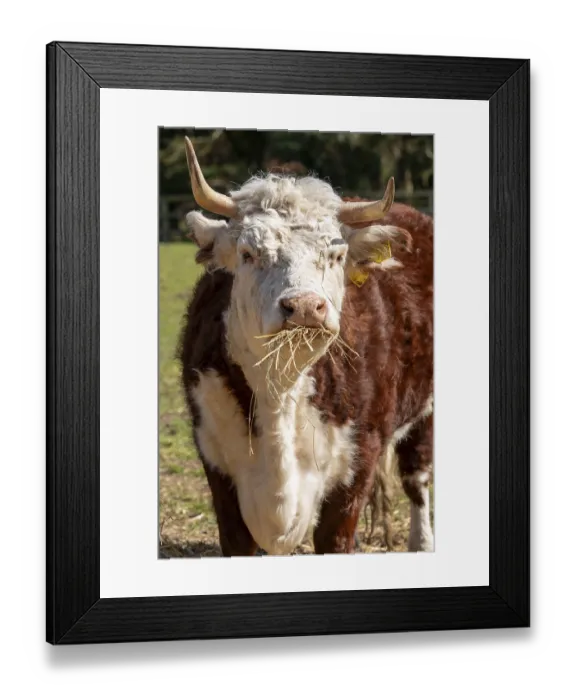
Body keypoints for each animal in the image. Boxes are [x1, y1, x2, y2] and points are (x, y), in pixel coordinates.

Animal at [178, 136, 434, 556]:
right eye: (248, 254)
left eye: (337, 256)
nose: (304, 307)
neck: (280, 391)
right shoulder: (216, 462)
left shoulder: (358, 461)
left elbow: (337, 538)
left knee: (417, 475)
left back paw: (421, 541)